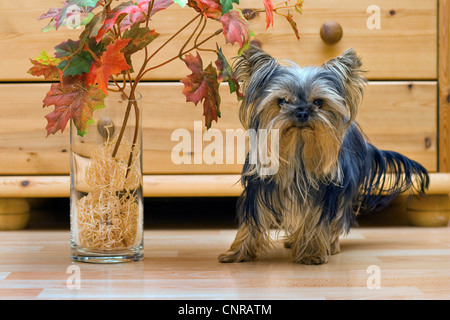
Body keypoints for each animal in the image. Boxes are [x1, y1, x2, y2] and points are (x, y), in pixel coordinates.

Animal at [219, 45, 428, 264]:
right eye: (281, 101)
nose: (302, 111)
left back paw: (331, 245)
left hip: (344, 187)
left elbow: (314, 219)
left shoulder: (323, 191)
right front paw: (237, 253)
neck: (296, 148)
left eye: (319, 102)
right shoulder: (259, 188)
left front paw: (311, 253)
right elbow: (251, 220)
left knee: (337, 218)